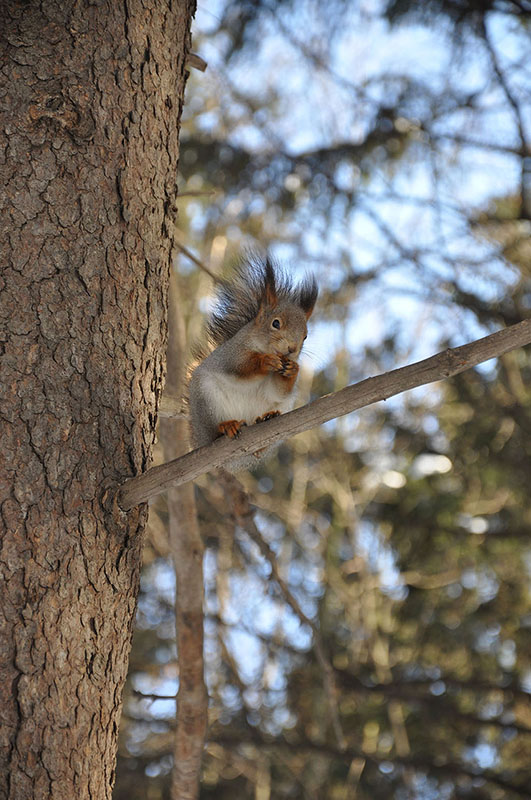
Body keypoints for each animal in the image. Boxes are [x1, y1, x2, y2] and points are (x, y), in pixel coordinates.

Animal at [189, 253, 318, 472]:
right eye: (276, 323)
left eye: (306, 336)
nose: (292, 349)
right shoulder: (231, 354)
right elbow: (240, 367)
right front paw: (265, 361)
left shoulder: (279, 388)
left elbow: (278, 390)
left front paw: (292, 369)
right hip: (205, 400)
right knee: (213, 432)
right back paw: (226, 426)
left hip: (283, 408)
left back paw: (266, 420)